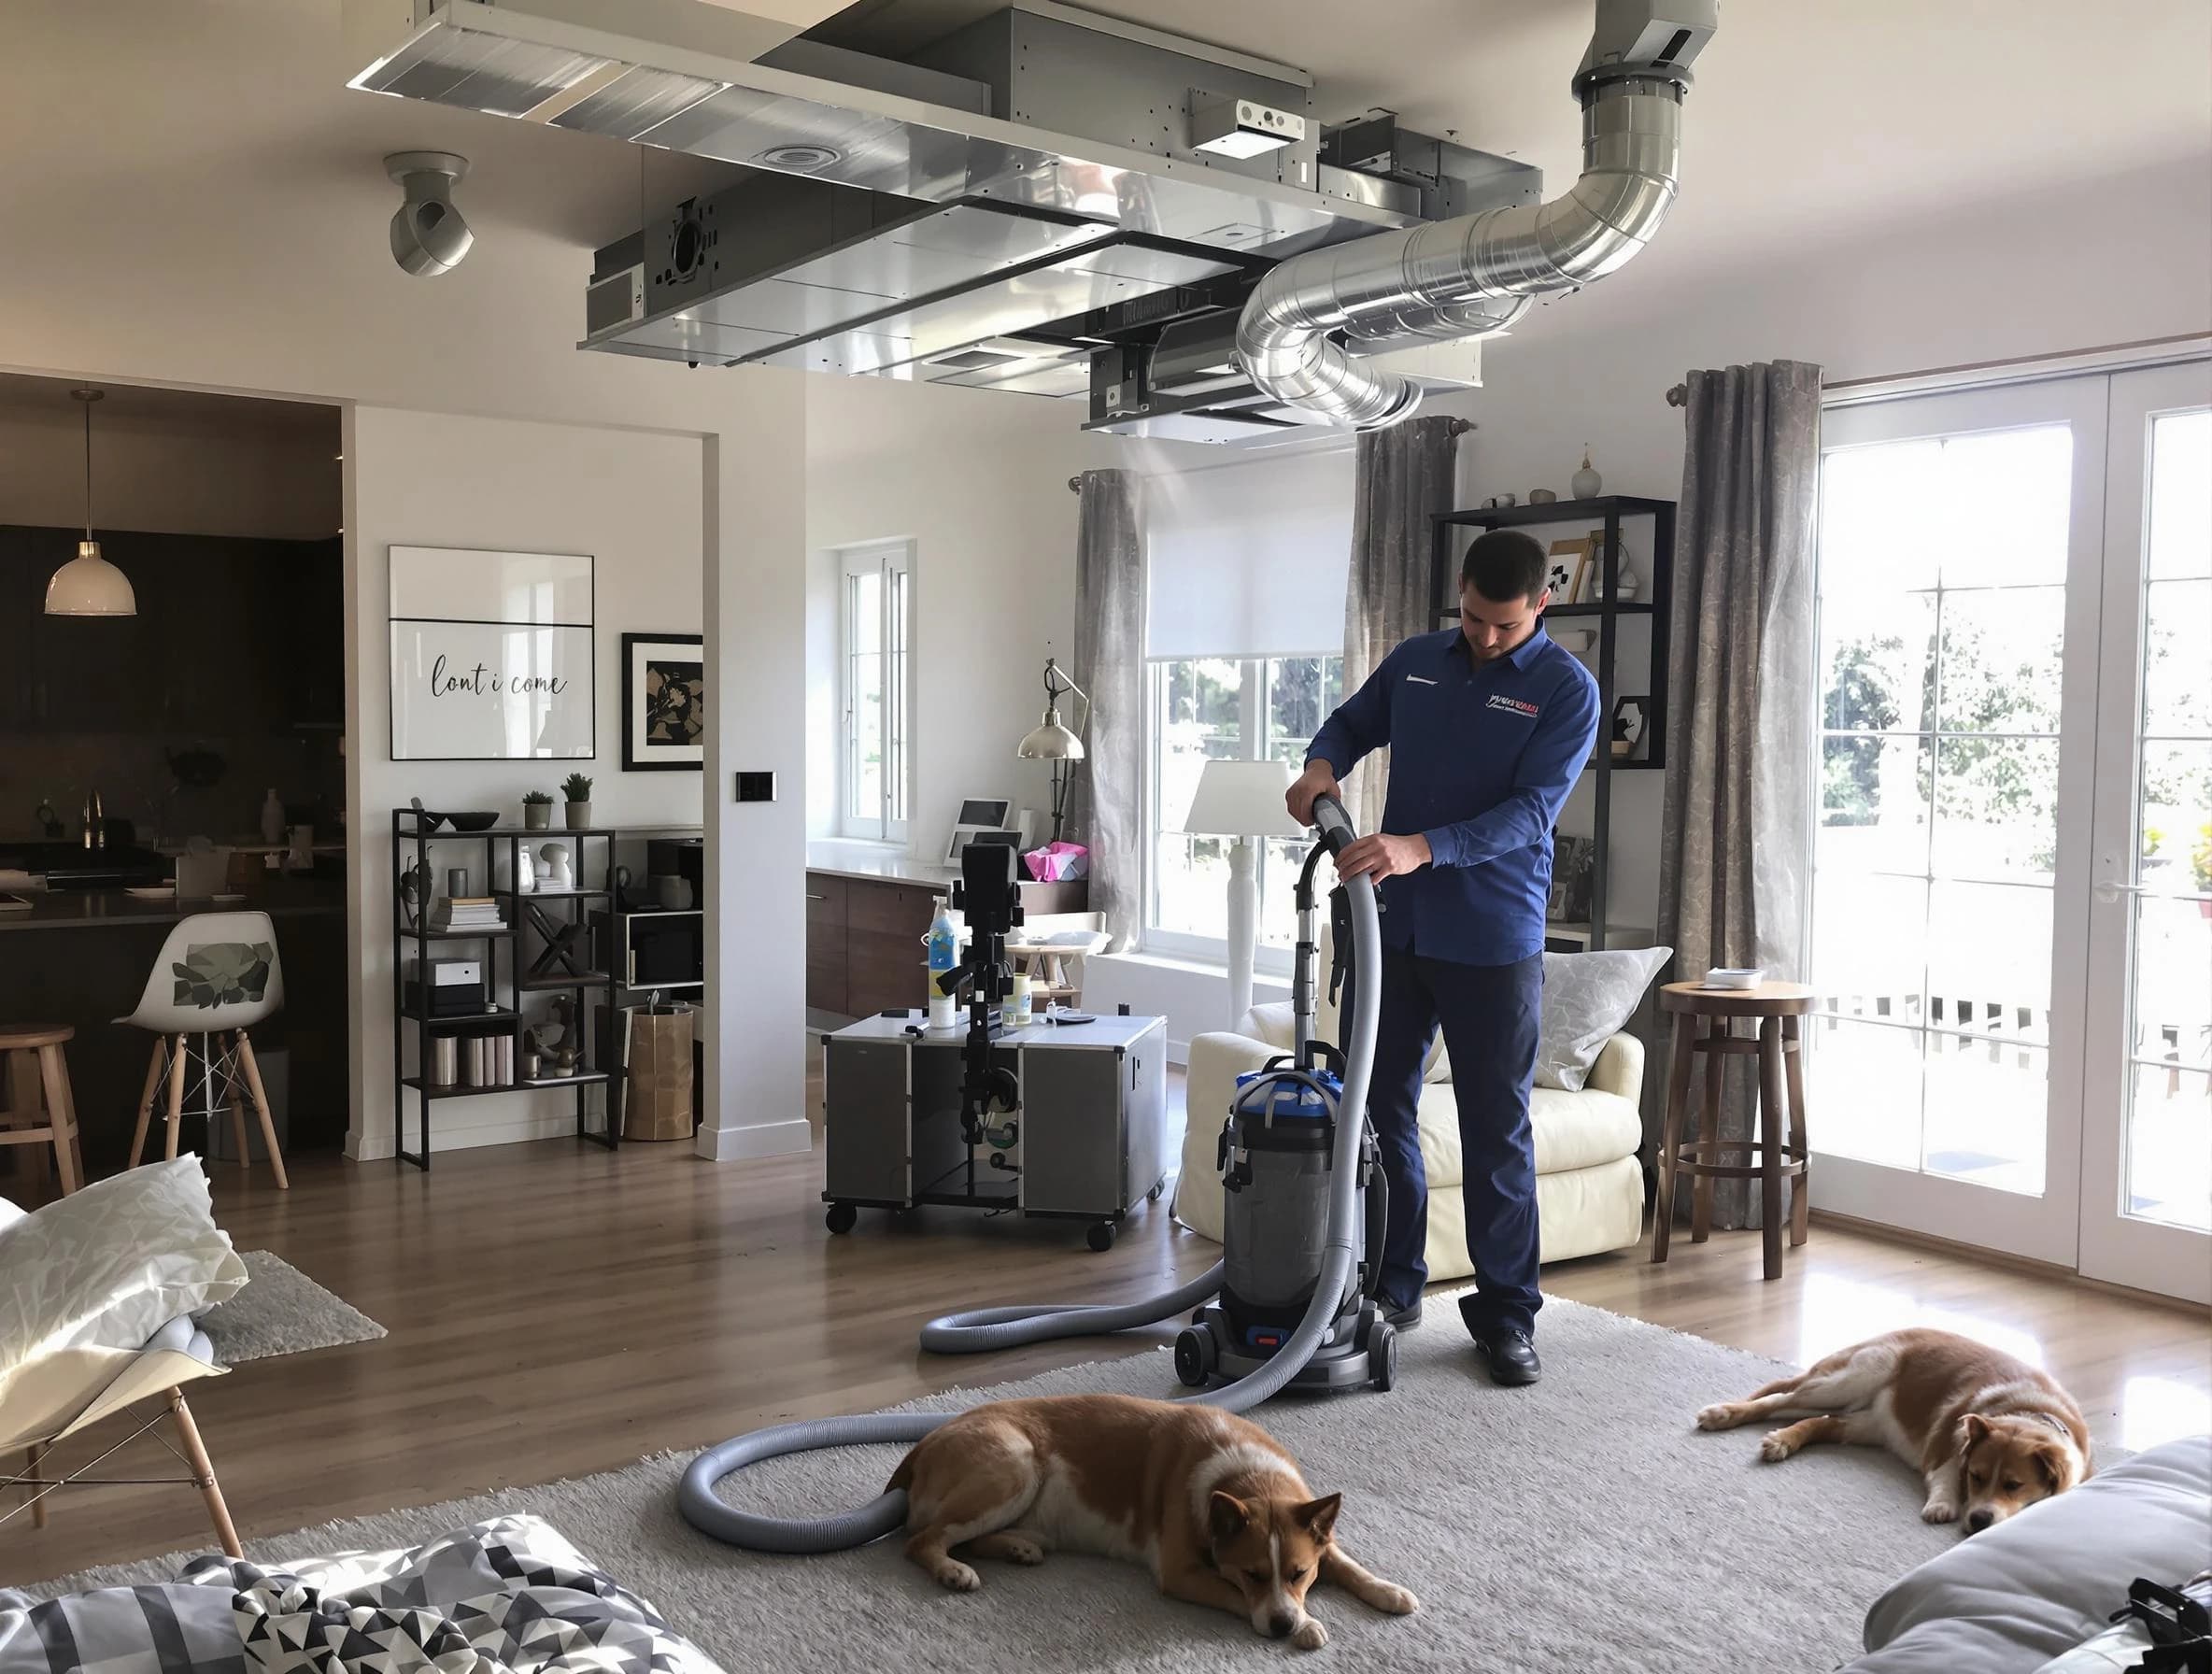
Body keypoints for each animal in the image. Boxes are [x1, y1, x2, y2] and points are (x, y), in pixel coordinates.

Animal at [888, 1388, 1424, 1645]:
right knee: (922, 1539)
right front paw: (1308, 1624)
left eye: (1299, 1573)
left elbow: (1347, 1563)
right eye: (1252, 1575)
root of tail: (924, 1444)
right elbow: (1229, 1592)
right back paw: (953, 1571)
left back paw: (1018, 1547)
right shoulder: (1180, 1573)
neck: (1249, 1478)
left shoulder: (1317, 1537)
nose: (1282, 1627)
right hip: (1015, 1464)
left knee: (964, 1535)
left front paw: (1388, 1590)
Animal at [1690, 1326, 2088, 1530]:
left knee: (1817, 1422)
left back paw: (1783, 1441)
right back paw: (1724, 1413)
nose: (1978, 1519)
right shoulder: (1944, 1452)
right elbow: (1944, 1477)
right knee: (1776, 1400)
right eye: (1975, 1476)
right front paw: (1942, 1505)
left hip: (1868, 1423)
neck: (2029, 1412)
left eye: (2014, 1485)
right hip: (1855, 1377)